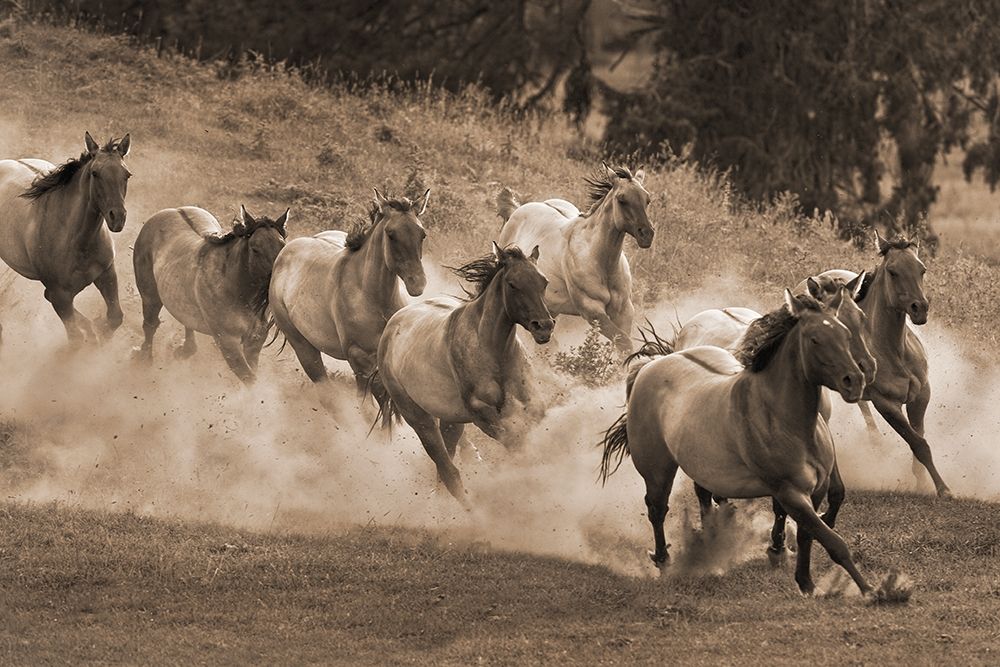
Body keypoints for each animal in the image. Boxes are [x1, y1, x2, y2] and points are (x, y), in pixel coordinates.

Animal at [0, 133, 132, 348]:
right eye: (95, 173)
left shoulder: (106, 273)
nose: (117, 217)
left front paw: (98, 334)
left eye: (127, 174)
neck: (78, 241)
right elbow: (75, 340)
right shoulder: (60, 296)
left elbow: (115, 318)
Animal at [131, 204, 288, 384]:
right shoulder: (227, 342)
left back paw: (184, 350)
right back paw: (144, 358)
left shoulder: (254, 342)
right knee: (150, 325)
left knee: (186, 322)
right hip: (150, 296)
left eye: (283, 246)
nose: (278, 283)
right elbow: (249, 378)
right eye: (255, 249)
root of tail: (172, 210)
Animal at [270, 185, 430, 410]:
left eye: (422, 234)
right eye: (391, 234)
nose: (418, 283)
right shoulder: (360, 362)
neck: (372, 297)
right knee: (326, 393)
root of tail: (285, 252)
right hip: (303, 347)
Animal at [378, 243, 560, 504]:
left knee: (445, 468)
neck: (494, 352)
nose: (544, 326)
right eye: (512, 284)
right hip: (420, 419)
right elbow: (518, 445)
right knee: (448, 472)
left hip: (451, 422)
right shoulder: (483, 414)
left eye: (543, 281)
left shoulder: (532, 405)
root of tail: (392, 326)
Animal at [600, 292, 876, 596]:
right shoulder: (790, 492)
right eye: (815, 339)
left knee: (699, 494)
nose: (855, 381)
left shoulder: (816, 490)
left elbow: (809, 534)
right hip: (657, 469)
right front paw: (870, 591)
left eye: (845, 333)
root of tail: (650, 365)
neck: (785, 420)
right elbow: (833, 541)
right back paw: (665, 561)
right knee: (657, 508)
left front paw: (805, 582)